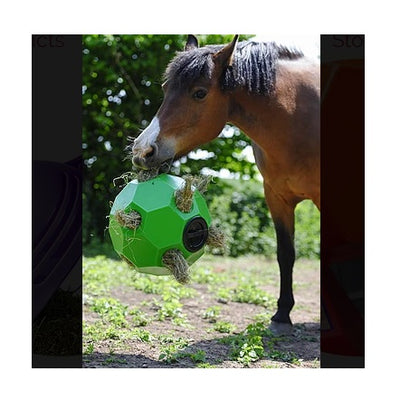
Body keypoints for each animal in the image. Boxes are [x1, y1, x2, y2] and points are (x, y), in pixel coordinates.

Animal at [133, 36, 320, 332]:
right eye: (165, 89)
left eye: (200, 93)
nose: (142, 152)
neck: (299, 116)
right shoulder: (276, 197)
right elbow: (285, 254)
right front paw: (281, 315)